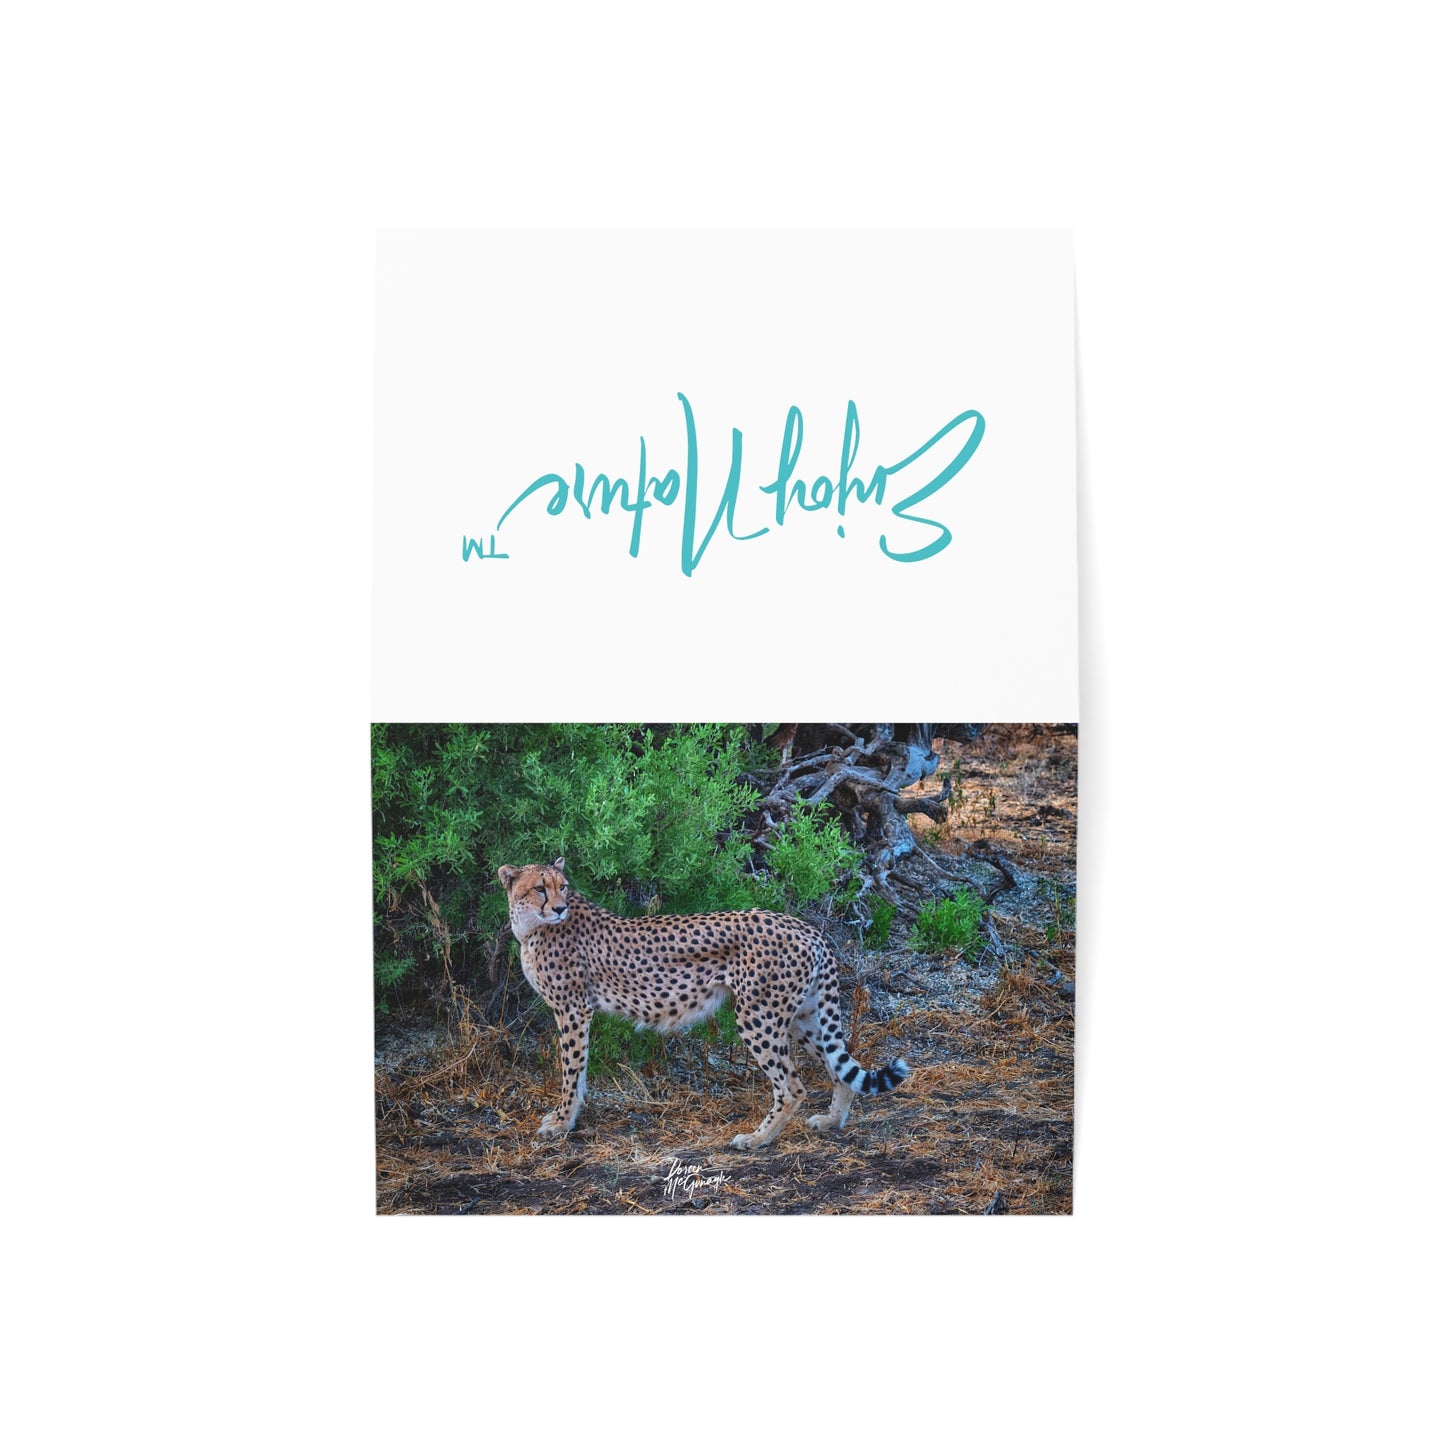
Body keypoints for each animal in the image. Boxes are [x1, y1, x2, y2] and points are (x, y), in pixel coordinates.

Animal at [498, 857, 910, 1150]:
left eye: (562, 887)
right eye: (540, 888)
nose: (559, 908)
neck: (531, 926)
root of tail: (803, 925)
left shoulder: (572, 1009)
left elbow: (571, 1069)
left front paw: (562, 1122)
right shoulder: (576, 1010)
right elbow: (578, 1071)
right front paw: (568, 1117)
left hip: (757, 1015)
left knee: (792, 1086)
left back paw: (757, 1139)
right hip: (801, 1016)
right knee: (839, 1067)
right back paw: (831, 1121)